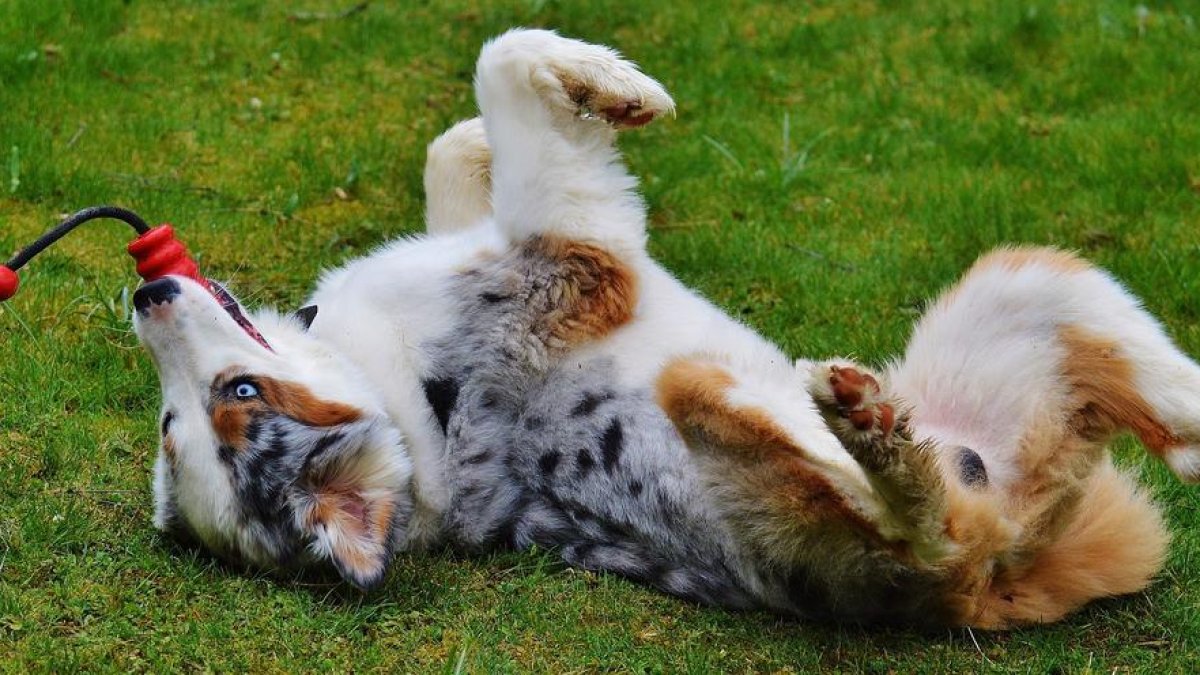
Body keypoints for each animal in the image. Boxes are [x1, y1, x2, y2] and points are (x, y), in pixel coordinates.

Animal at [133, 28, 1200, 629]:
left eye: (193, 414)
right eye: (227, 398)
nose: (144, 300)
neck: (402, 394)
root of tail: (994, 579)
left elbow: (458, 134)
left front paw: (585, 90)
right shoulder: (580, 249)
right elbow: (502, 58)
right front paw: (620, 88)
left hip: (1023, 275)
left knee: (1156, 398)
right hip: (742, 421)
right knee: (920, 522)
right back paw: (870, 431)